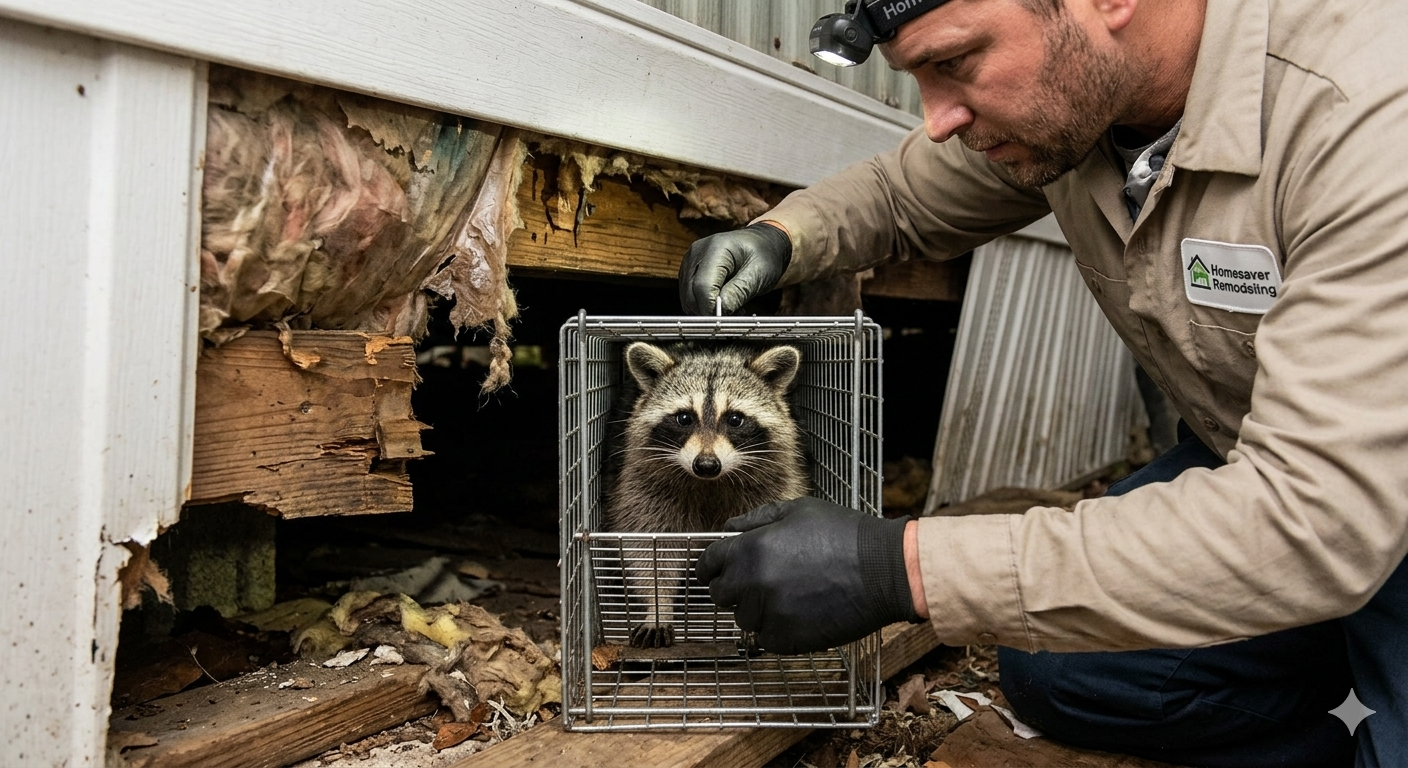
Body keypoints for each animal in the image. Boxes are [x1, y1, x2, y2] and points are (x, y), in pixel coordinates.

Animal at [605, 341, 811, 648]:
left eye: (735, 419)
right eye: (684, 418)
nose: (706, 465)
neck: (711, 482)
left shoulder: (771, 487)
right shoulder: (644, 487)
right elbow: (650, 548)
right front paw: (657, 608)